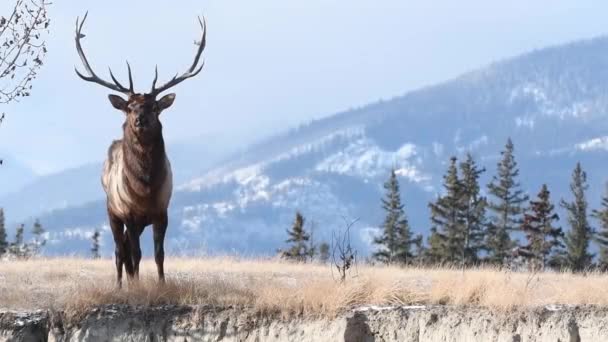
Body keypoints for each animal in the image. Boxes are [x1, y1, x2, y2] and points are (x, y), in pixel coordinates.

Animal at [73, 12, 207, 286]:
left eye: (155, 107)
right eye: (129, 107)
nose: (140, 120)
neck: (145, 189)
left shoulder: (161, 211)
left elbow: (158, 254)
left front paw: (161, 283)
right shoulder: (129, 213)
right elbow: (135, 253)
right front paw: (136, 286)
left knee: (124, 248)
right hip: (112, 211)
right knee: (119, 250)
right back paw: (120, 285)